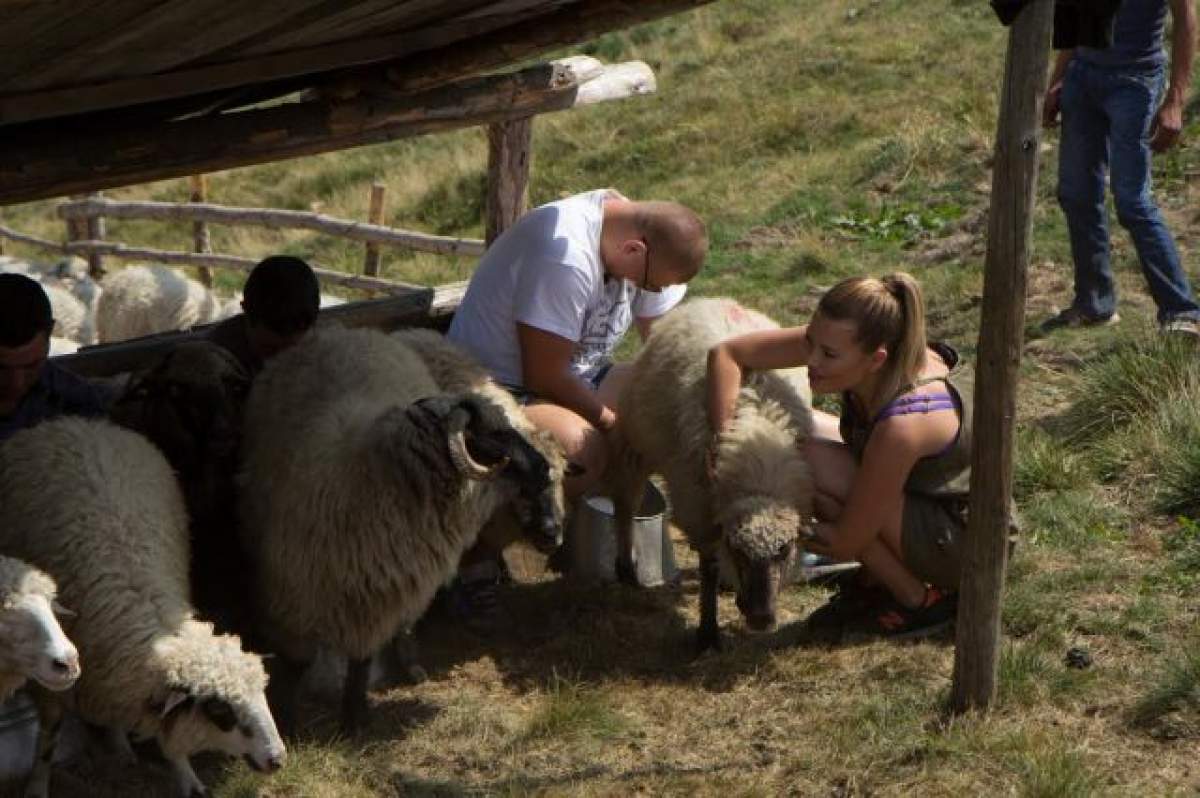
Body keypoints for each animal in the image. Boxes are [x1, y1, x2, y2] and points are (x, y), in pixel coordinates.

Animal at [238, 326, 566, 734]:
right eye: (490, 437)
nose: (542, 469)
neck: (365, 478)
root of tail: (338, 330)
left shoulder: (375, 594)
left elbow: (361, 661)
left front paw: (355, 720)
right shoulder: (289, 597)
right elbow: (293, 665)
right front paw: (288, 724)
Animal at [609, 295, 816, 652]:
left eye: (784, 549)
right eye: (738, 549)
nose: (761, 619)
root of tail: (710, 300)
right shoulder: (699, 511)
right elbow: (707, 568)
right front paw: (707, 632)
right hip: (636, 442)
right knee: (627, 503)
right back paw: (627, 569)